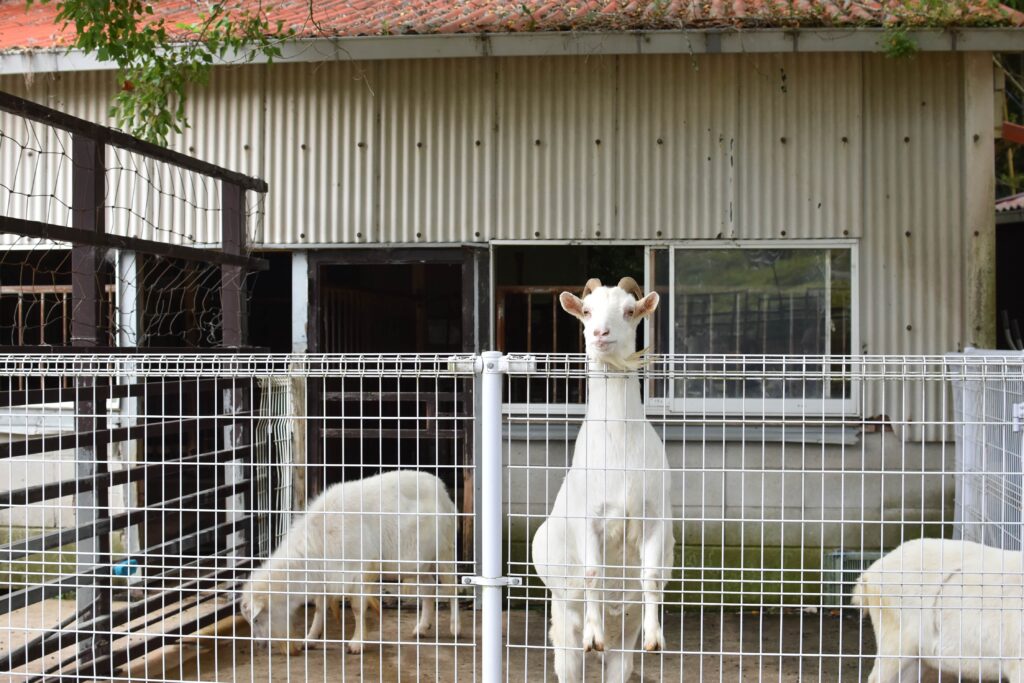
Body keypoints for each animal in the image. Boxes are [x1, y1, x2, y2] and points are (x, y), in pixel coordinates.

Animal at [239, 469, 461, 655]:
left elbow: (356, 607)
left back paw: (455, 628)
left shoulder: (361, 570)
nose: (260, 644)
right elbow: (319, 607)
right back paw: (422, 628)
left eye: (256, 618)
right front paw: (311, 638)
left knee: (451, 587)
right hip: (419, 561)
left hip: (445, 550)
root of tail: (442, 489)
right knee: (429, 587)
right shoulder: (327, 576)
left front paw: (357, 643)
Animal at [531, 276, 676, 682]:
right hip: (564, 628)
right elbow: (593, 573)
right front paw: (593, 635)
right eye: (587, 310)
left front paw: (656, 638)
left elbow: (650, 576)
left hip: (623, 640)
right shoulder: (590, 519)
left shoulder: (653, 516)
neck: (619, 446)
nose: (599, 333)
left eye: (629, 310)